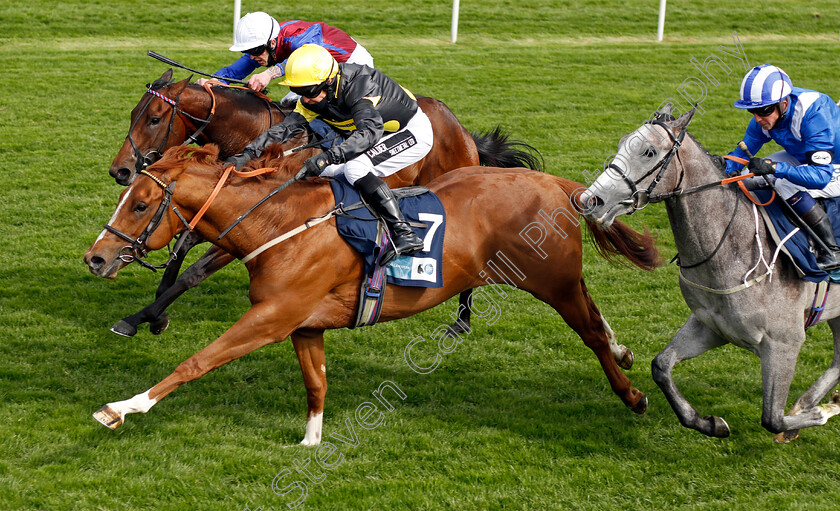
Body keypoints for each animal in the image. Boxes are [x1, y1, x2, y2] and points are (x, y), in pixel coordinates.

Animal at [85, 144, 664, 444]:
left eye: (140, 205)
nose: (95, 257)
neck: (281, 225)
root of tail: (556, 184)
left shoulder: (273, 316)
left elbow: (197, 361)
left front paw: (122, 407)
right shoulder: (305, 322)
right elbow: (316, 383)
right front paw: (311, 441)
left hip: (551, 281)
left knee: (590, 334)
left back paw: (632, 395)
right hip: (562, 280)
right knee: (597, 317)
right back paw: (624, 353)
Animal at [108, 69, 540, 340]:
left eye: (155, 118)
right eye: (132, 113)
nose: (120, 171)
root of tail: (461, 130)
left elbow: (193, 272)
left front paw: (136, 318)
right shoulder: (220, 206)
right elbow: (178, 252)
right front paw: (155, 313)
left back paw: (461, 321)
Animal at [580, 106, 840, 442]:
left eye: (649, 152)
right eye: (622, 142)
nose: (590, 201)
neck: (732, 250)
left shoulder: (784, 342)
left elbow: (773, 418)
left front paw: (822, 412)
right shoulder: (712, 325)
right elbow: (661, 366)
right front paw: (710, 423)